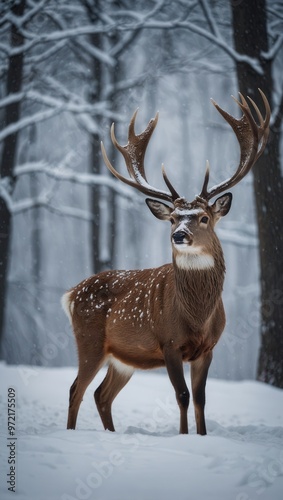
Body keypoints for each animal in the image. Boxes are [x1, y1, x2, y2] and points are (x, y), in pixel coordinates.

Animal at [62, 92, 270, 436]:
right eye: (172, 218)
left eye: (204, 217)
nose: (179, 235)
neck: (196, 317)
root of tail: (70, 294)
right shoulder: (169, 342)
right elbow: (182, 395)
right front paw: (184, 436)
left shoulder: (208, 348)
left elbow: (200, 398)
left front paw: (202, 436)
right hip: (89, 339)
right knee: (76, 388)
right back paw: (71, 433)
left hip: (123, 358)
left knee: (101, 394)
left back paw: (111, 432)